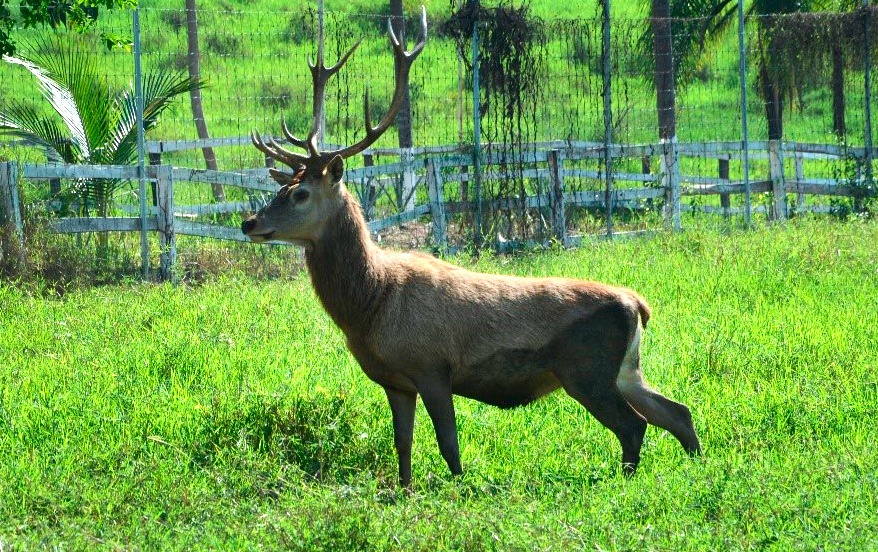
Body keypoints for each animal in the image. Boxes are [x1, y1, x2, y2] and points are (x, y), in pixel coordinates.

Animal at [242, 6, 700, 486]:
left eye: (300, 194)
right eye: (280, 187)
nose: (249, 222)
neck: (371, 304)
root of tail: (639, 305)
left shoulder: (432, 367)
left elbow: (449, 446)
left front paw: (459, 490)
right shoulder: (395, 381)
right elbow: (402, 446)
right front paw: (404, 491)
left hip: (586, 369)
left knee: (635, 425)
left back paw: (626, 480)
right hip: (626, 368)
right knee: (677, 412)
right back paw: (696, 465)